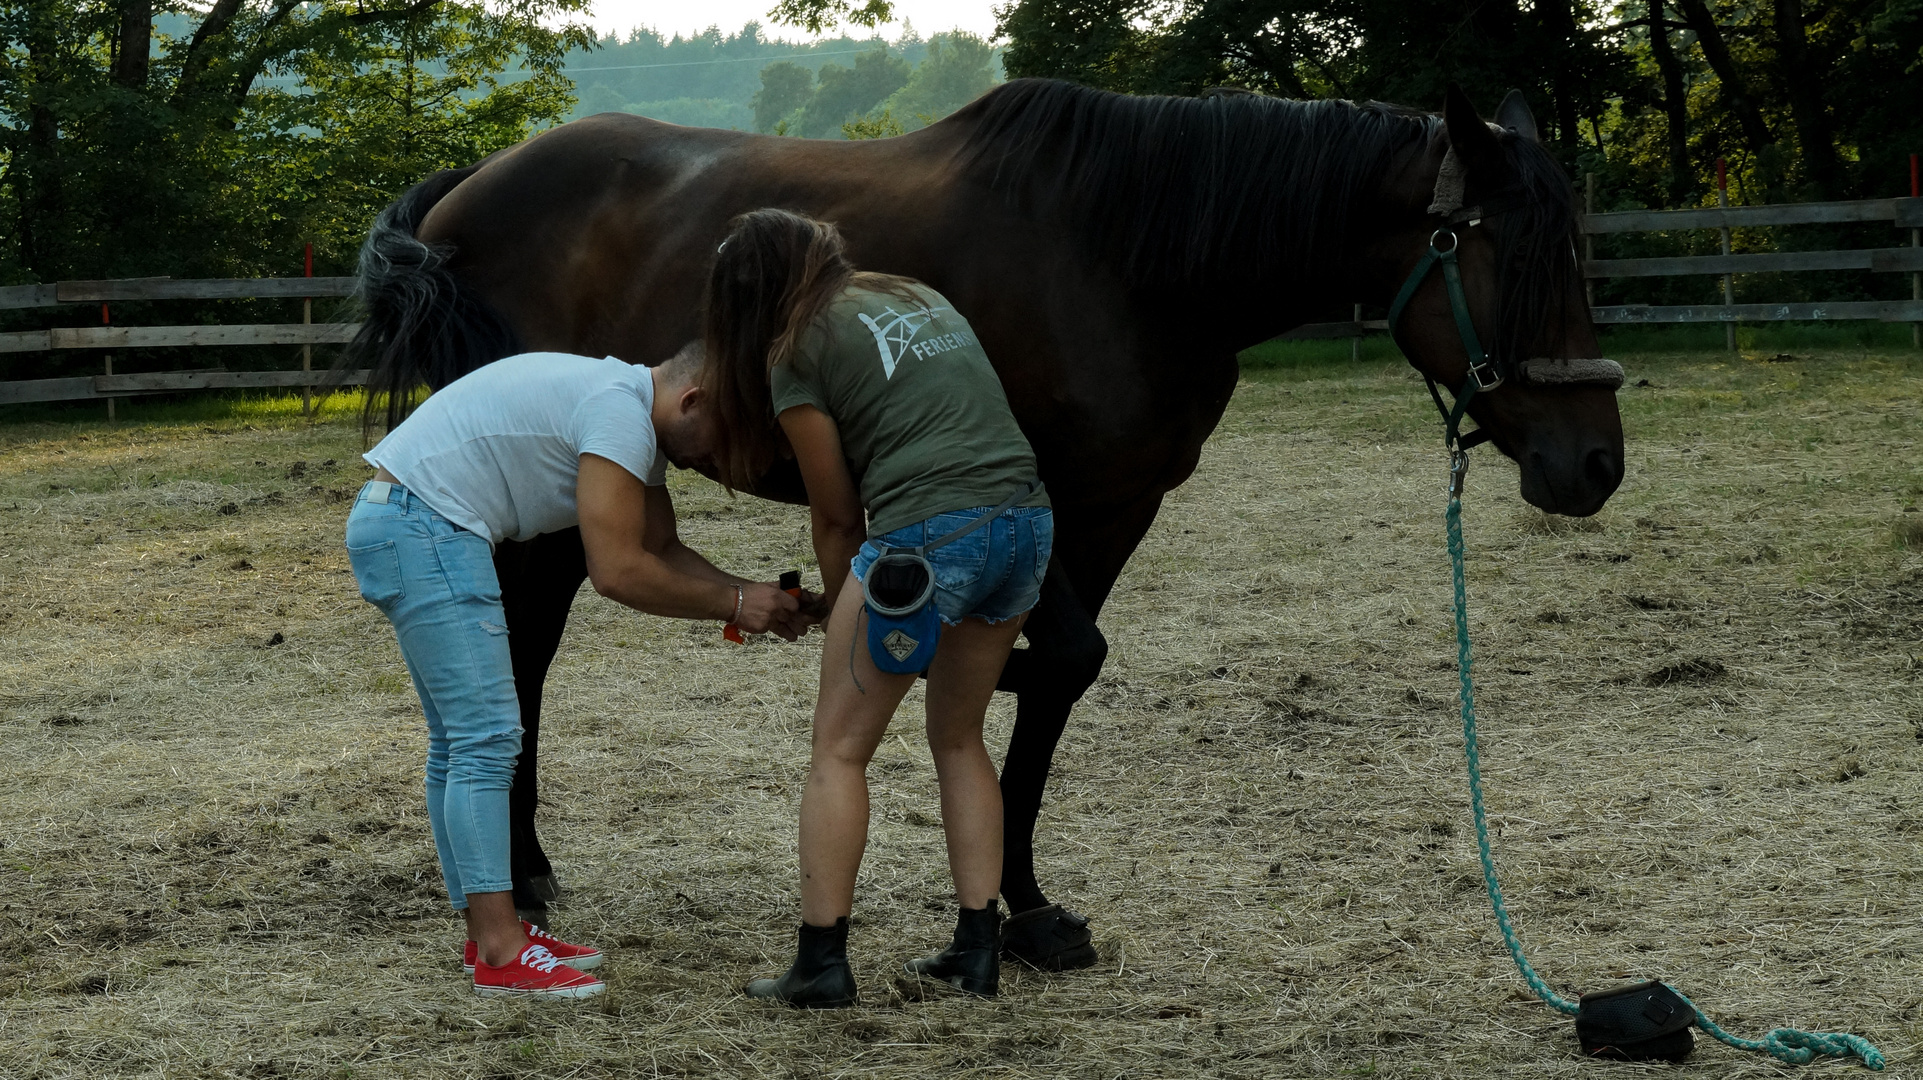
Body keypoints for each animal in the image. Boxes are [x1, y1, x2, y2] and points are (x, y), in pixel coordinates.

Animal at [346, 77, 1623, 968]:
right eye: (1518, 257)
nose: (1595, 464)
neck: (1127, 256)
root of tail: (468, 186)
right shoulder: (1035, 493)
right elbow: (1056, 659)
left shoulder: (1112, 508)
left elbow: (1061, 683)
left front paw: (1028, 905)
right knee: (517, 651)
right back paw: (518, 869)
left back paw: (529, 864)